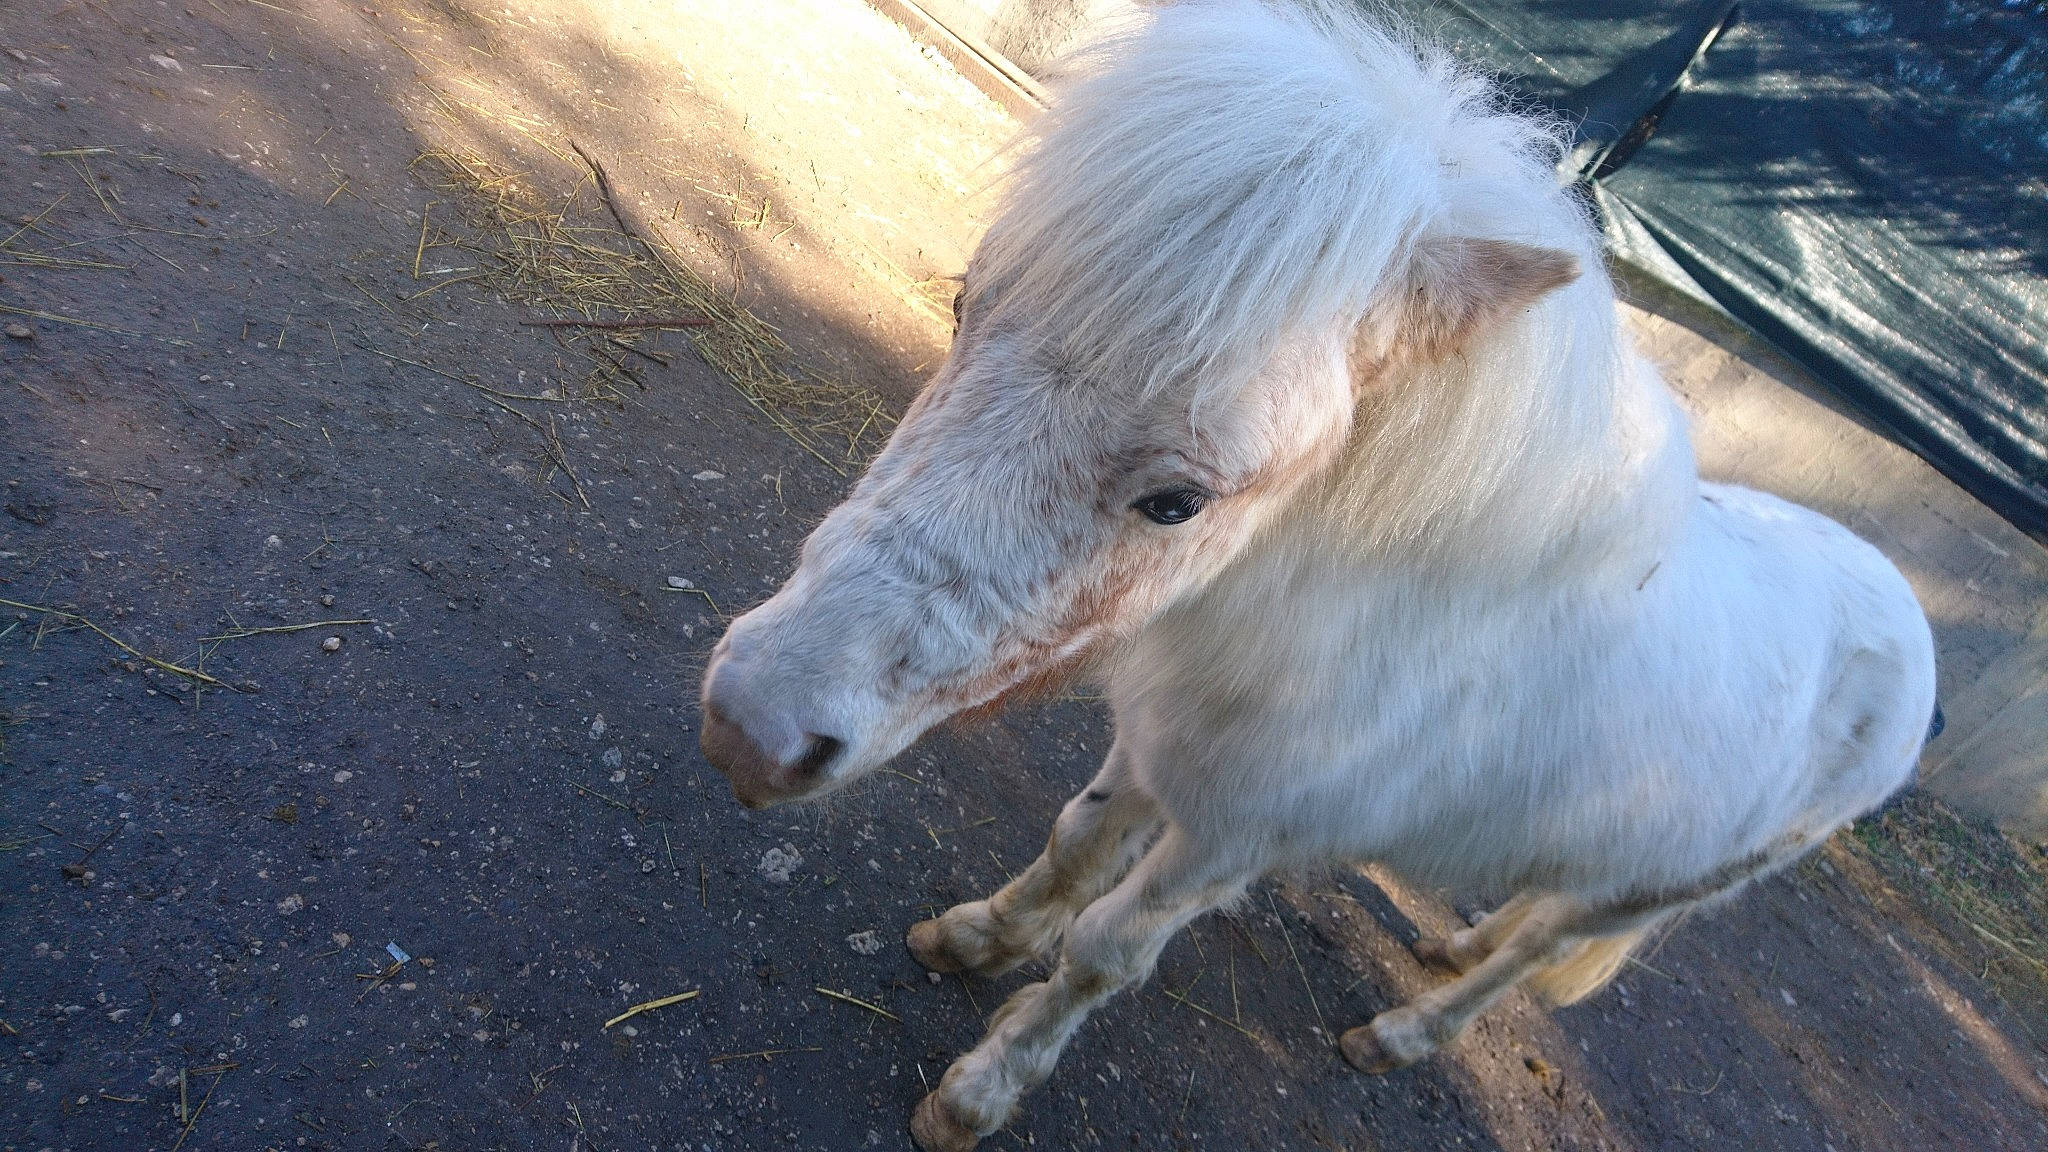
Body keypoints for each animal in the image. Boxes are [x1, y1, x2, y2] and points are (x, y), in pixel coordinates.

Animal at [696, 3, 1938, 1148]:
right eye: (961, 309)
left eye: (1177, 501)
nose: (750, 730)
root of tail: (1906, 622)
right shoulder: (1159, 751)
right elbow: (1073, 844)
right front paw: (977, 940)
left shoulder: (1236, 842)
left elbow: (1106, 953)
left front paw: (980, 1092)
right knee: (1517, 925)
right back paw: (1447, 939)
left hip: (1642, 895)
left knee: (1535, 956)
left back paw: (1401, 1035)